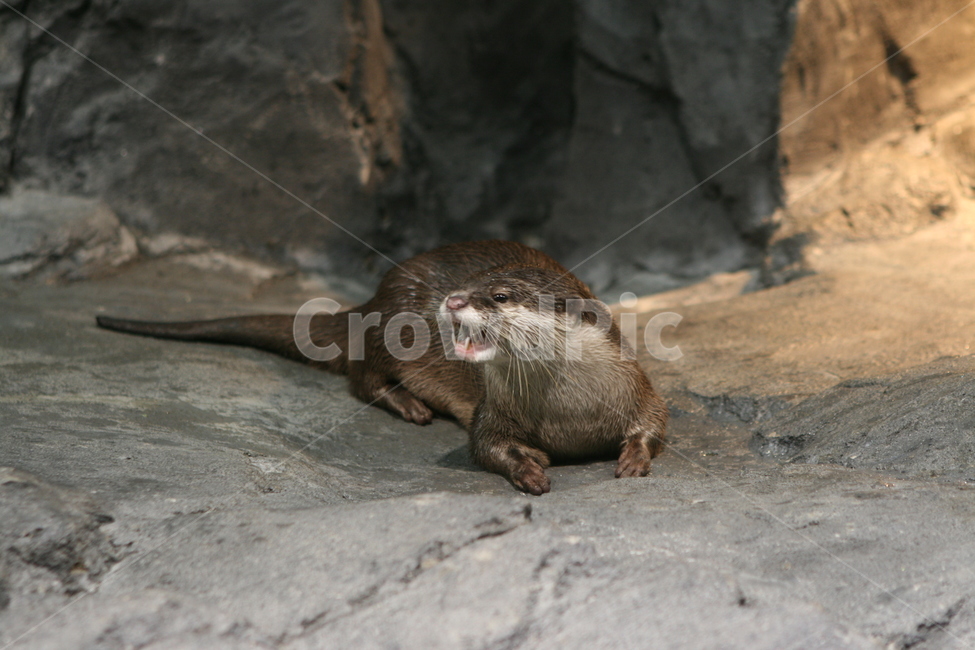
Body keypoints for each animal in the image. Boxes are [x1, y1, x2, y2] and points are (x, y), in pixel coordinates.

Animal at [96, 240, 667, 494]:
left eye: (500, 295)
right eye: (475, 283)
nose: (453, 299)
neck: (568, 411)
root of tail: (372, 298)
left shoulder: (638, 386)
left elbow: (655, 424)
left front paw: (634, 460)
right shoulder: (493, 410)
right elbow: (485, 446)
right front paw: (528, 466)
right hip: (388, 332)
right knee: (362, 376)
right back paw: (410, 405)